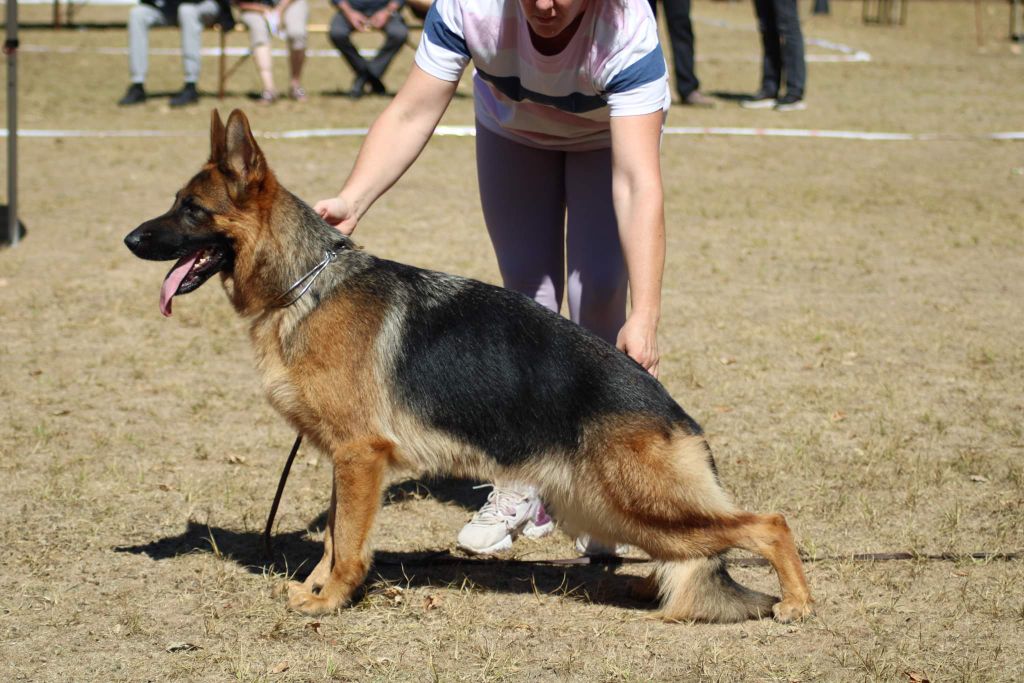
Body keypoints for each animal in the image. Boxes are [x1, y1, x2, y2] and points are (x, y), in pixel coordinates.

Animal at [123, 111, 811, 626]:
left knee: (767, 524)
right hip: (611, 508)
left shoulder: (360, 456)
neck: (303, 285)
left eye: (191, 209)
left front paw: (333, 600)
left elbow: (349, 545)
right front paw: (314, 588)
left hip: (641, 502)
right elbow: (334, 535)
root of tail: (672, 409)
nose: (130, 239)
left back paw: (797, 602)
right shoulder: (346, 460)